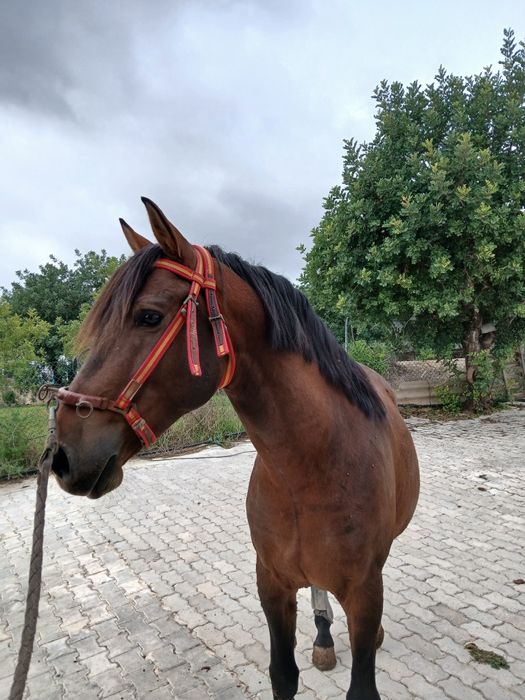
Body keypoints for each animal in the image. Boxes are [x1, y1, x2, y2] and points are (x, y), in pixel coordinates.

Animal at [50, 198, 420, 700]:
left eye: (149, 316)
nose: (64, 454)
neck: (313, 469)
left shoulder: (364, 593)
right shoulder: (272, 586)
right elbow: (283, 674)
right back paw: (324, 638)